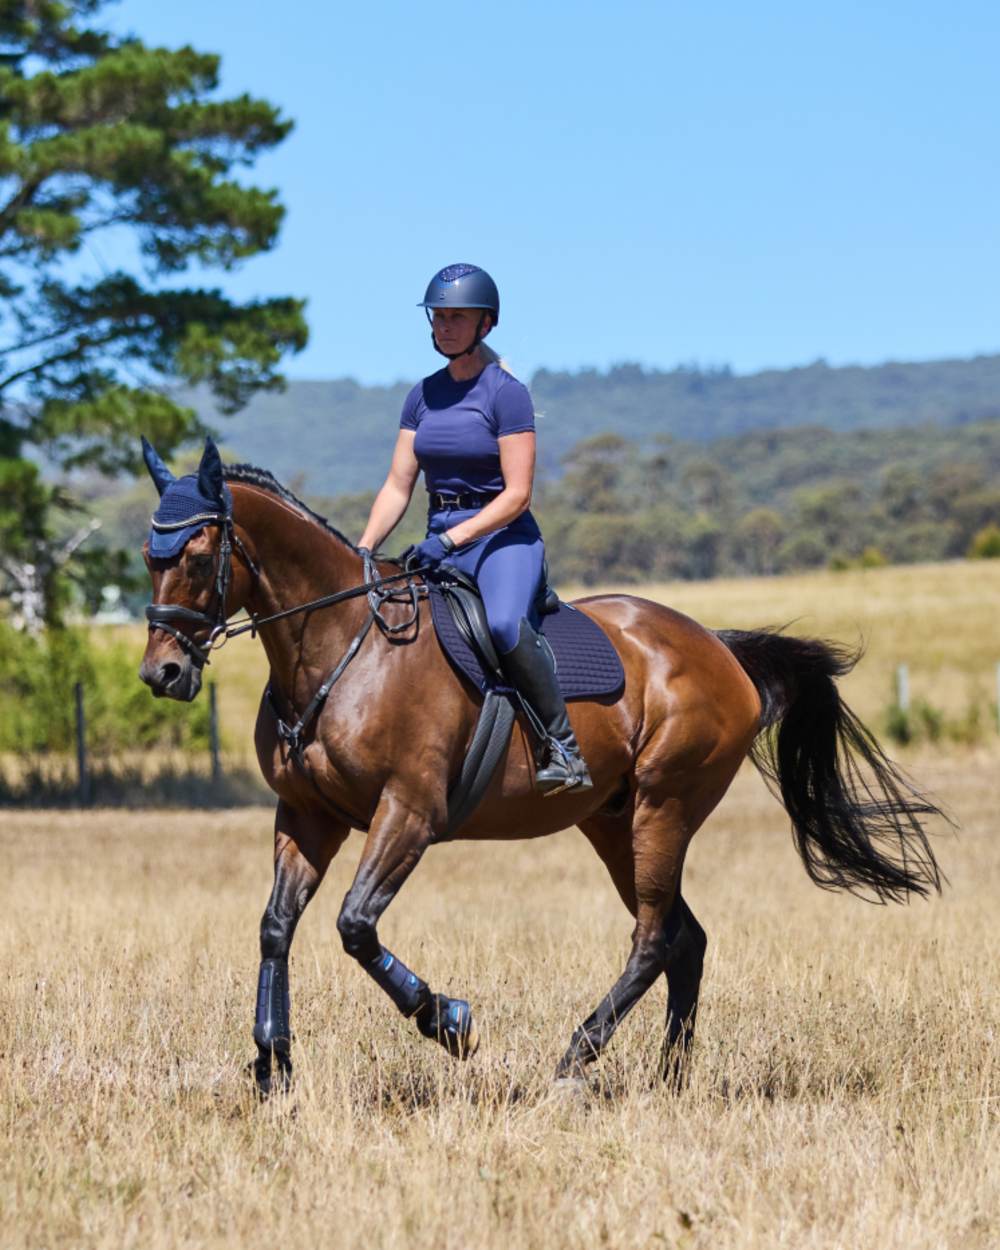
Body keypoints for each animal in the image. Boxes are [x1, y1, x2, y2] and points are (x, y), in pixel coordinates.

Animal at [138, 439, 943, 1096]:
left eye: (194, 556)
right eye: (149, 558)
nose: (163, 674)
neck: (340, 648)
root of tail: (719, 648)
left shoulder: (409, 813)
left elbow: (356, 926)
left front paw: (450, 1022)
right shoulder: (308, 815)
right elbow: (277, 927)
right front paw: (272, 1065)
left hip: (664, 808)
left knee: (654, 939)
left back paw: (575, 1058)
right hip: (613, 825)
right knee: (685, 939)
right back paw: (669, 1078)